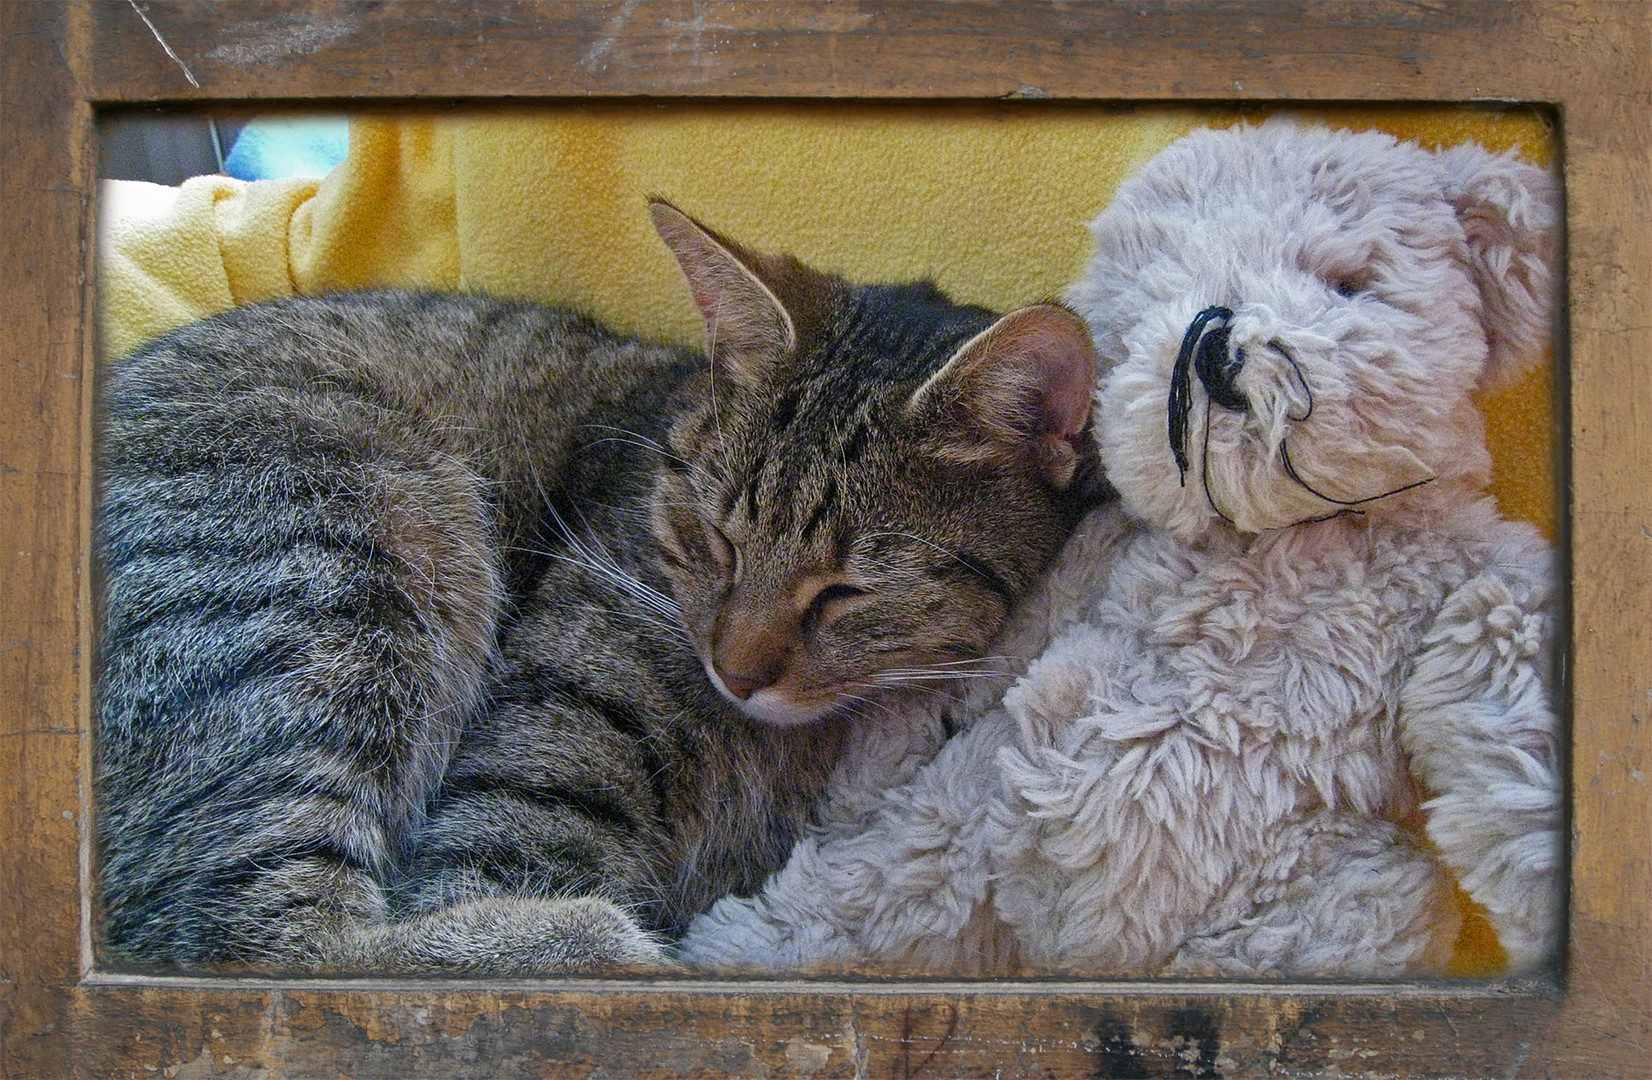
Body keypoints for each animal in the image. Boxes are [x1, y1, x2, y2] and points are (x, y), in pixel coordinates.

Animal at [87, 200, 1096, 971]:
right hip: (331, 568)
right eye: (718, 539)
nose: (736, 671)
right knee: (262, 938)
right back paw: (609, 946)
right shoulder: (531, 757)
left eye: (847, 589)